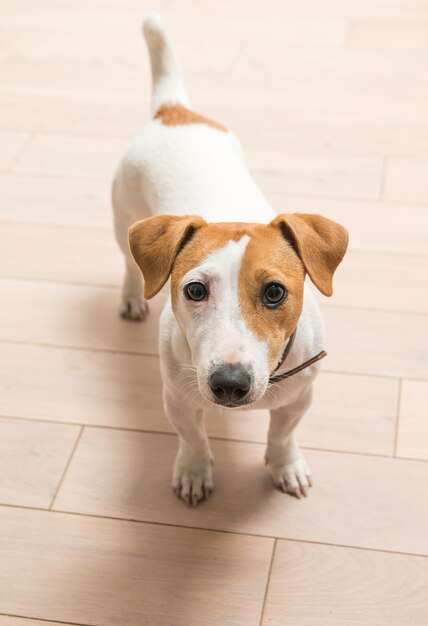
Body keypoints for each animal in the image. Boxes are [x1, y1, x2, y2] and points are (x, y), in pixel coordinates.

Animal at [113, 12, 348, 504]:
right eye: (195, 290)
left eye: (275, 292)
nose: (229, 384)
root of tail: (174, 112)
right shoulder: (177, 398)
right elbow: (191, 437)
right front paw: (194, 470)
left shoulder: (299, 397)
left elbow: (282, 434)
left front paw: (285, 465)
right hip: (123, 214)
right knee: (130, 264)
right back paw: (131, 296)